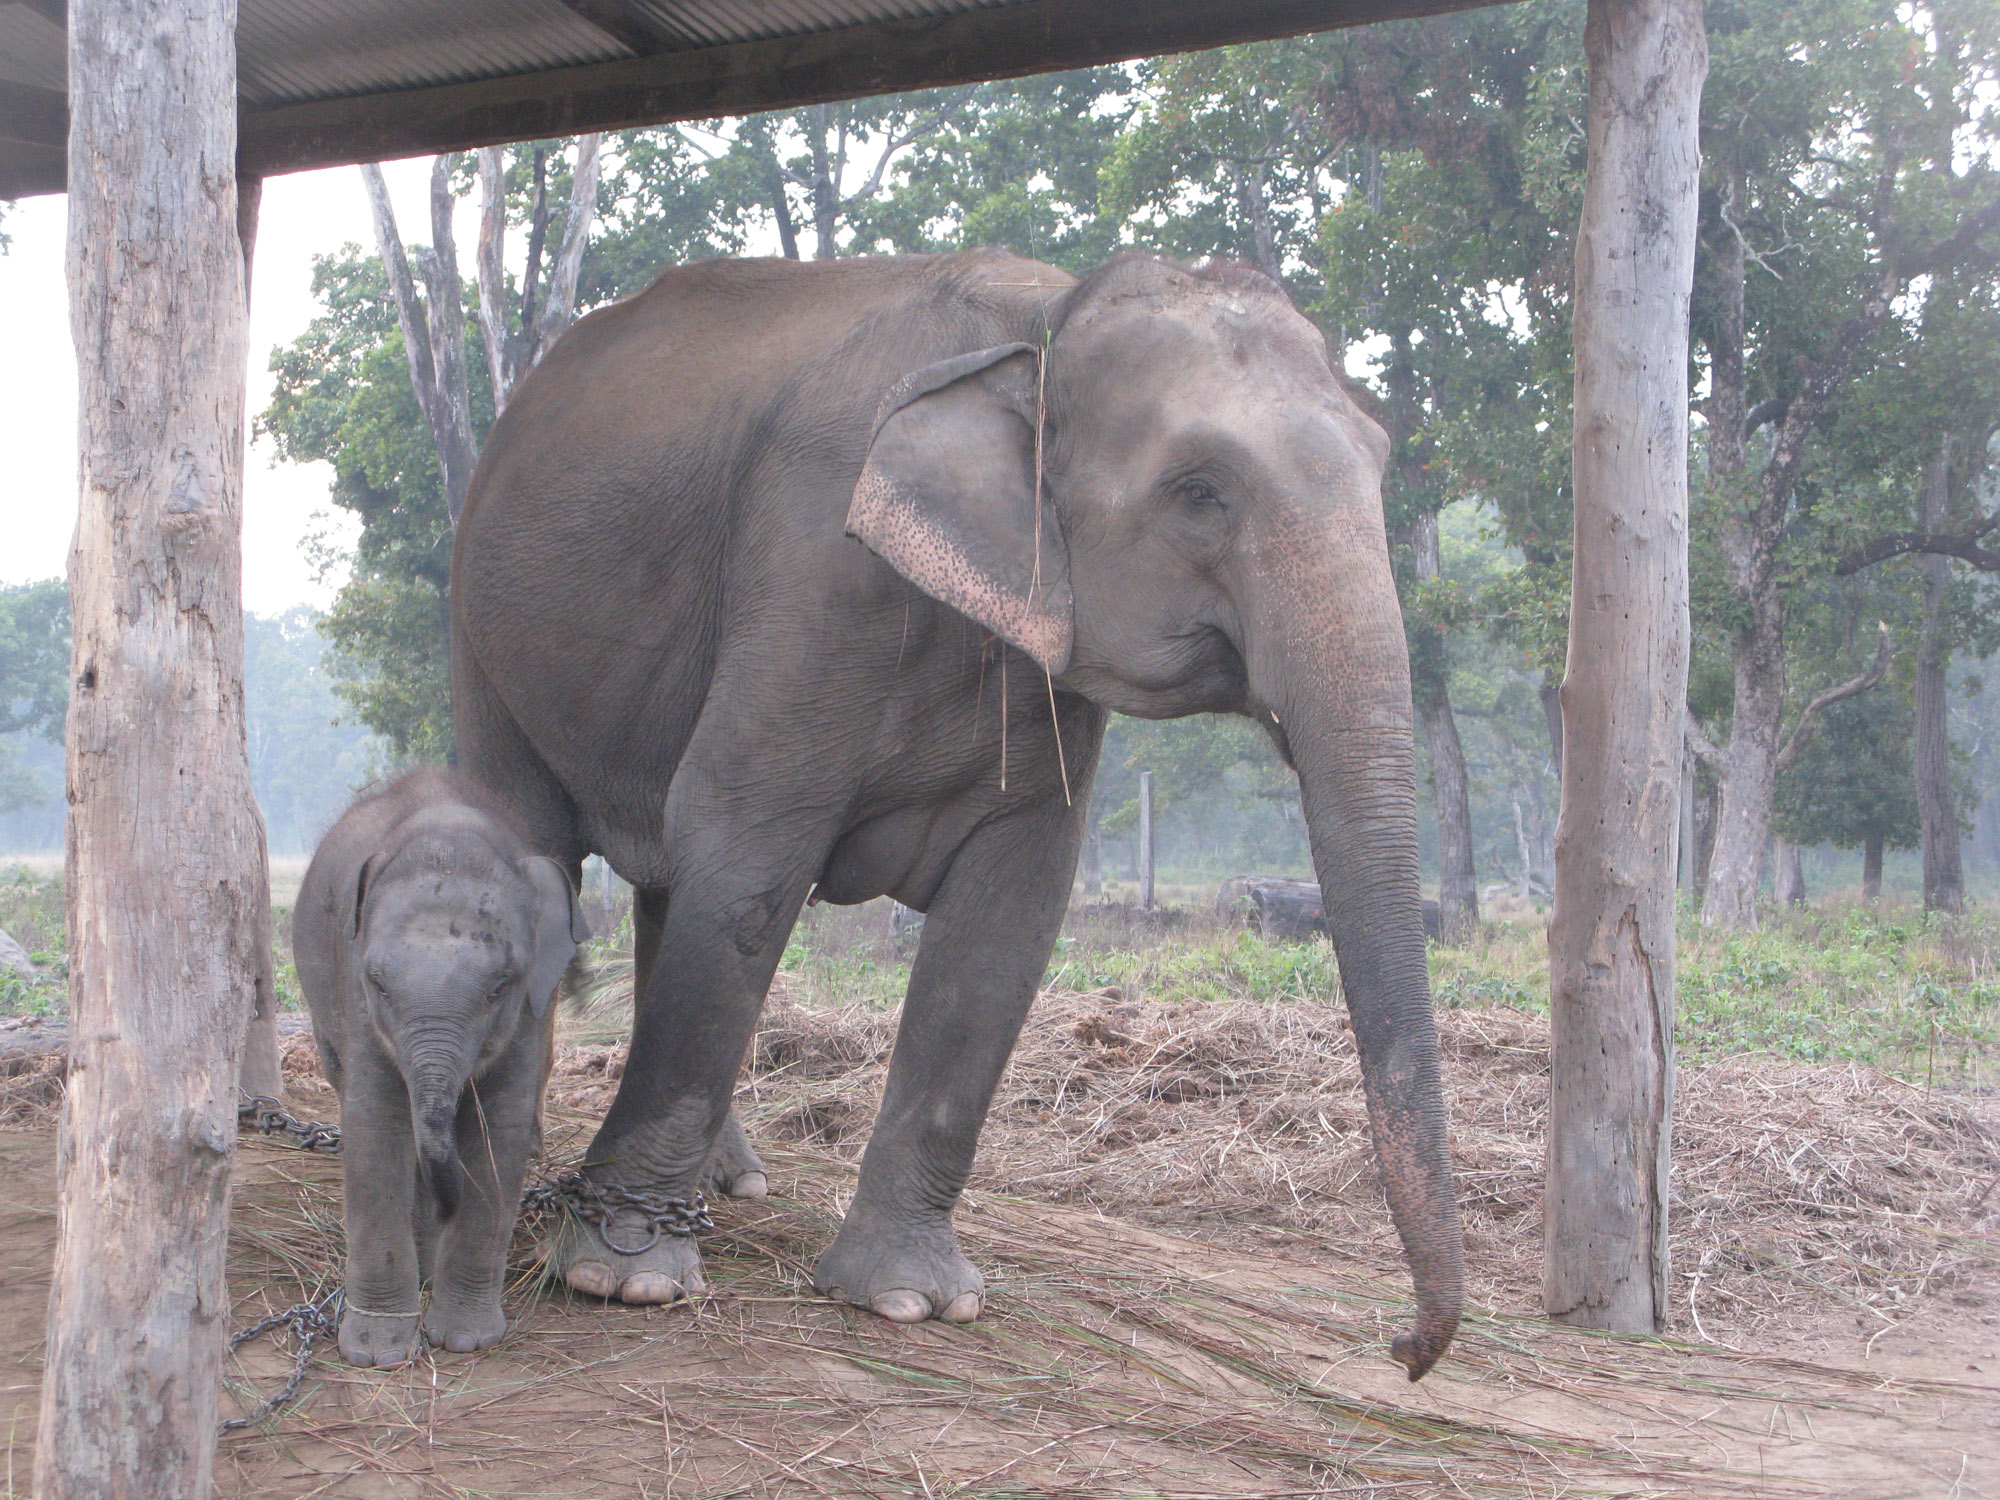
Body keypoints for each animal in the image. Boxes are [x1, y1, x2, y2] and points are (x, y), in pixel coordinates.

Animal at [293, 768, 589, 1366]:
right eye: (380, 984)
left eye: (499, 987)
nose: (447, 1204)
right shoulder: (357, 998)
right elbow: (376, 1124)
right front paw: (377, 1354)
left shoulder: (529, 1007)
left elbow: (499, 1129)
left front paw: (465, 1340)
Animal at [450, 250, 1464, 1378]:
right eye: (1199, 491)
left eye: (1381, 462)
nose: (1402, 1350)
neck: (1042, 322)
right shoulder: (811, 574)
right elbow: (746, 859)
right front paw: (622, 1281)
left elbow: (1006, 918)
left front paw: (912, 1303)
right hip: (487, 637)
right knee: (540, 842)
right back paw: (515, 1164)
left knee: (667, 885)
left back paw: (731, 1185)